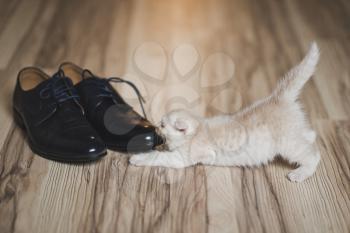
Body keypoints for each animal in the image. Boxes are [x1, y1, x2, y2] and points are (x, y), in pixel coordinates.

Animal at [130, 42, 322, 183]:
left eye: (163, 124)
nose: (156, 127)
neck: (198, 128)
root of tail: (277, 98)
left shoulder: (183, 158)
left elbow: (158, 157)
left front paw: (137, 158)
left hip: (288, 145)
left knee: (314, 155)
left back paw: (299, 174)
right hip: (294, 133)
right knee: (309, 134)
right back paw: (310, 135)